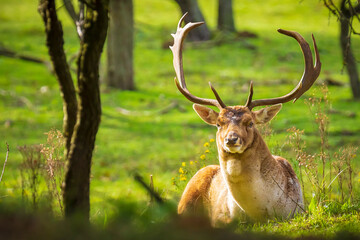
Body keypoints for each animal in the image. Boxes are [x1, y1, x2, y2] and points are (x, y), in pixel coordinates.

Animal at [170, 13, 322, 227]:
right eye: (218, 124)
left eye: (250, 123)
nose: (231, 139)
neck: (260, 213)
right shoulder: (219, 218)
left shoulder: (297, 212)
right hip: (186, 198)